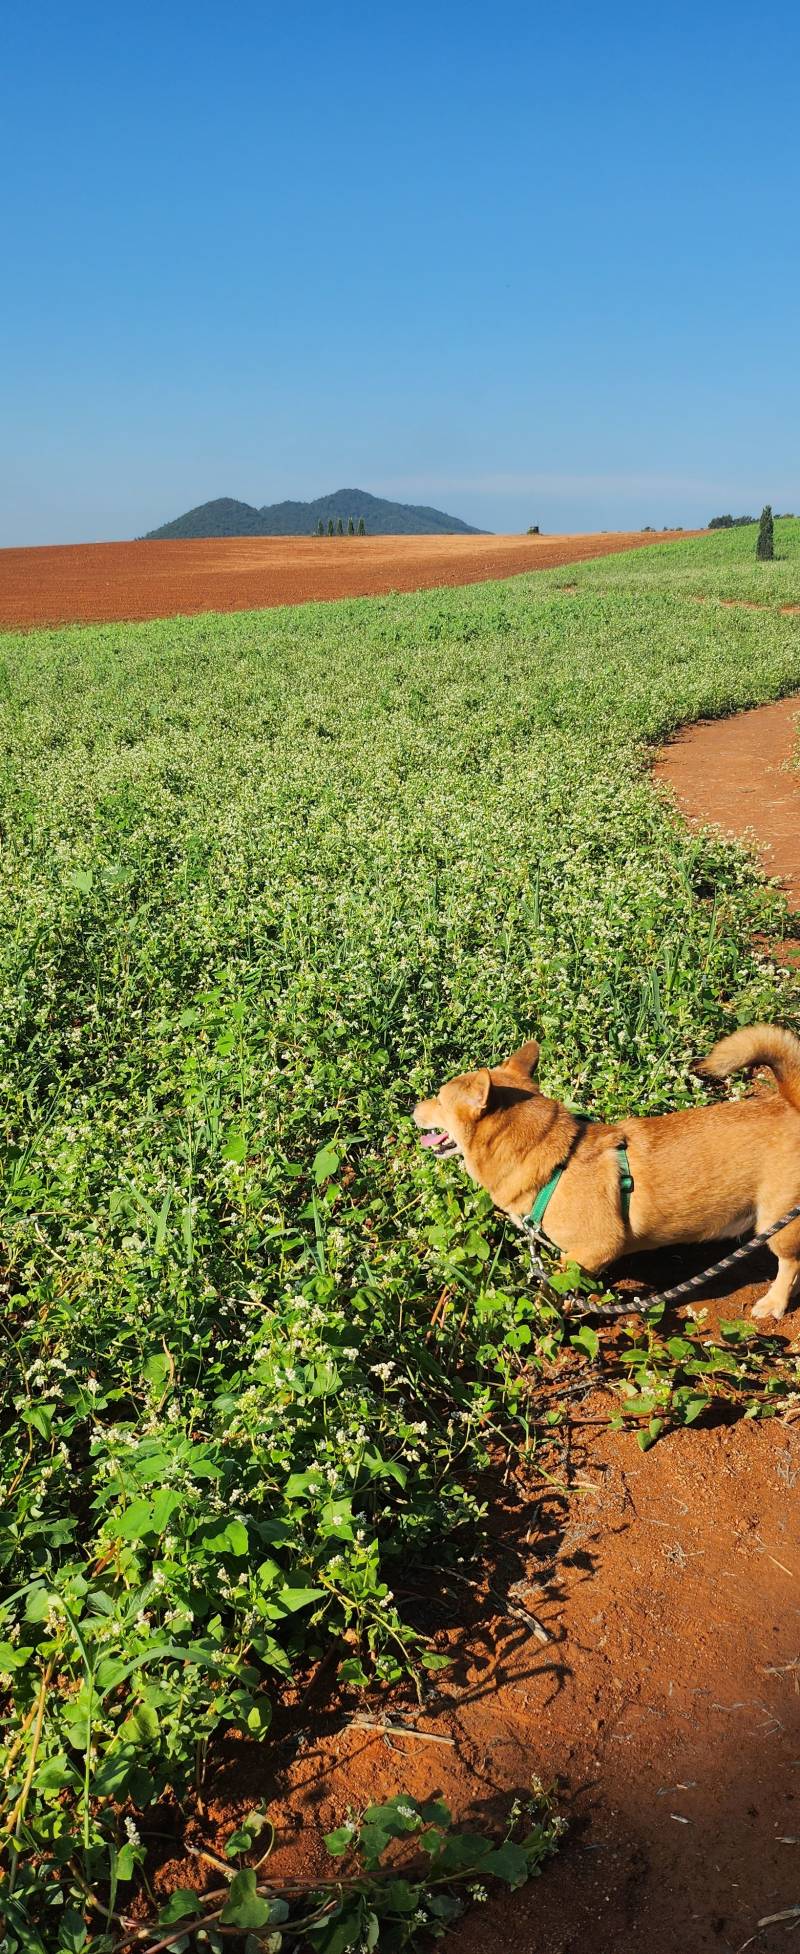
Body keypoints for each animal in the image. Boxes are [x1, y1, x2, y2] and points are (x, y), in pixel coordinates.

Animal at [414, 1023, 798, 1328]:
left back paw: (774, 1303)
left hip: (777, 1223)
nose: (414, 1107)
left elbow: (552, 1285)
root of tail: (788, 1105)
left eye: (439, 1100)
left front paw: (545, 1314)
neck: (554, 1157)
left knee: (790, 1264)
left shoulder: (595, 1249)